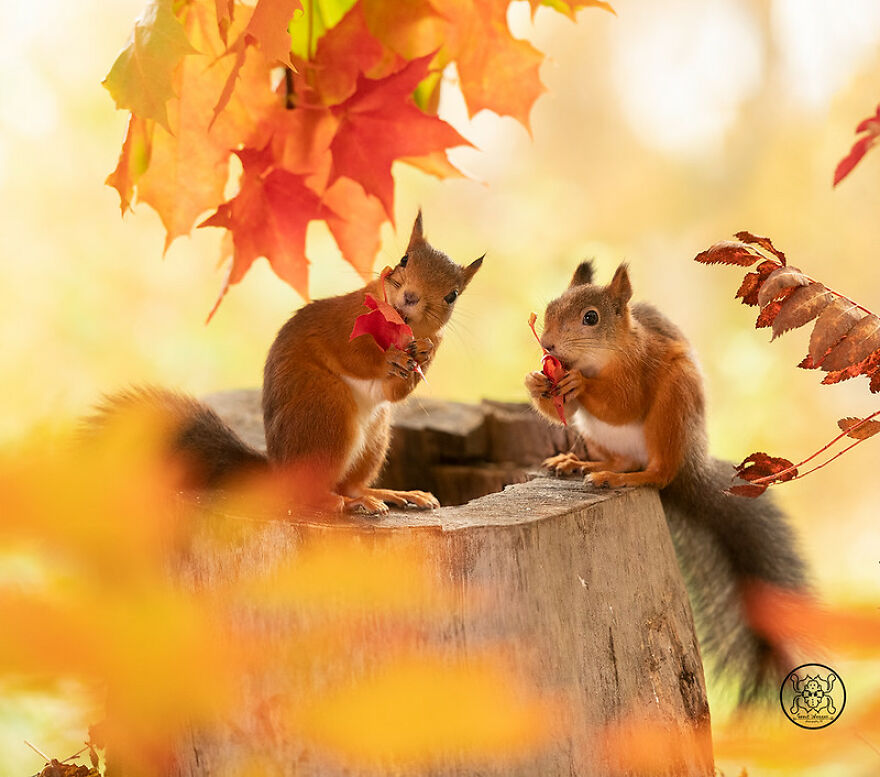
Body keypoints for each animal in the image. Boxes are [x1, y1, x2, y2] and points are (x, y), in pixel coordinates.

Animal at [91, 212, 483, 515]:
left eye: (452, 295)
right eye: (403, 260)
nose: (411, 297)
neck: (395, 325)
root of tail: (278, 474)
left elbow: (395, 391)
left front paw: (424, 352)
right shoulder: (343, 324)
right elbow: (355, 354)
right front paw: (390, 356)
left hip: (373, 437)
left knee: (351, 483)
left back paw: (390, 494)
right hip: (326, 414)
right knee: (310, 494)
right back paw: (344, 504)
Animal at [525, 260, 809, 702]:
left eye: (591, 318)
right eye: (551, 307)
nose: (550, 346)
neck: (602, 356)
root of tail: (687, 471)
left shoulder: (640, 369)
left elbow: (623, 402)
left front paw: (581, 385)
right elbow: (561, 407)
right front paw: (537, 382)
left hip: (673, 403)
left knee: (655, 473)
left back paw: (620, 478)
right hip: (599, 434)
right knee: (620, 457)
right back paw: (577, 462)